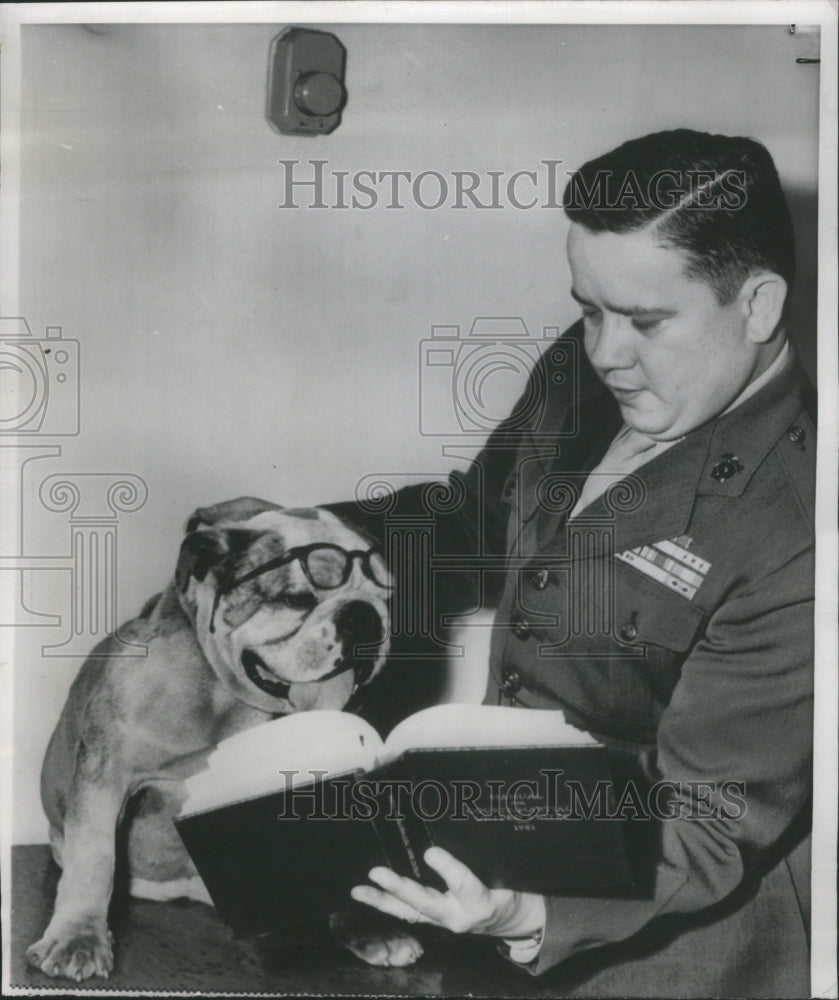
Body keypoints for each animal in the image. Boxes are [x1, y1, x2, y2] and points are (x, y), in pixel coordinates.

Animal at [26, 496, 394, 980]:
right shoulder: (105, 775)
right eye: (296, 599)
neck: (224, 695)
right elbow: (95, 858)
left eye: (387, 600)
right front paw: (78, 938)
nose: (365, 617)